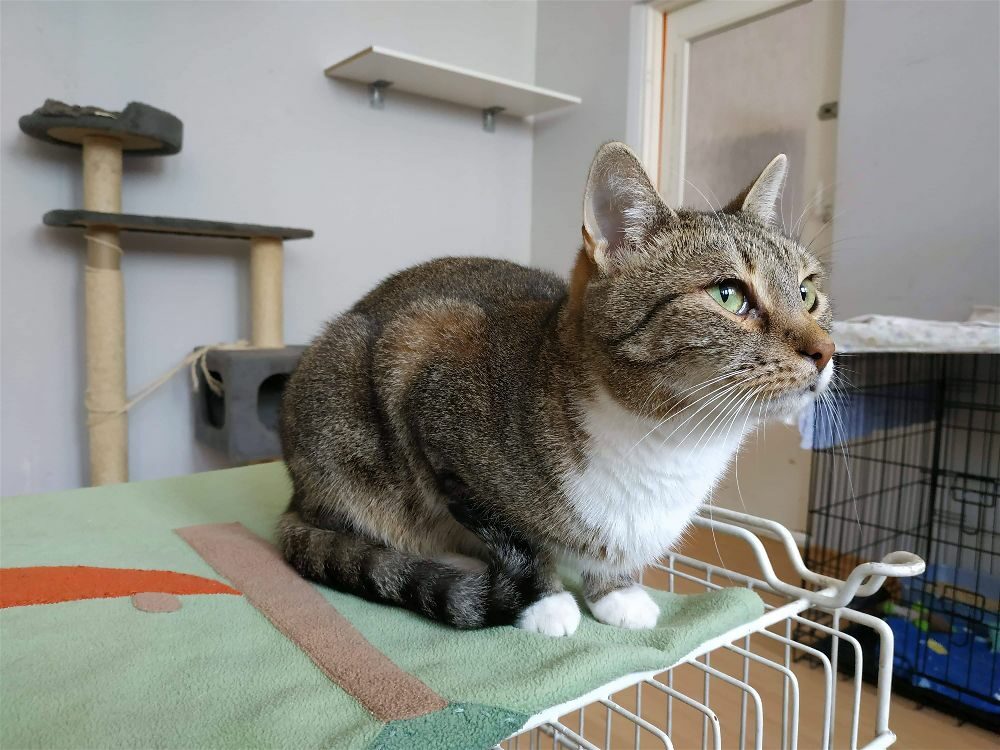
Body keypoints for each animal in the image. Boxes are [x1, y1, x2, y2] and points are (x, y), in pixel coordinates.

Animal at [277, 142, 835, 637]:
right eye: (728, 294)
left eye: (807, 292)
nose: (826, 350)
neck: (668, 442)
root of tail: (295, 494)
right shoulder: (426, 368)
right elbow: (515, 538)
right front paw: (545, 600)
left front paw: (615, 592)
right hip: (343, 407)